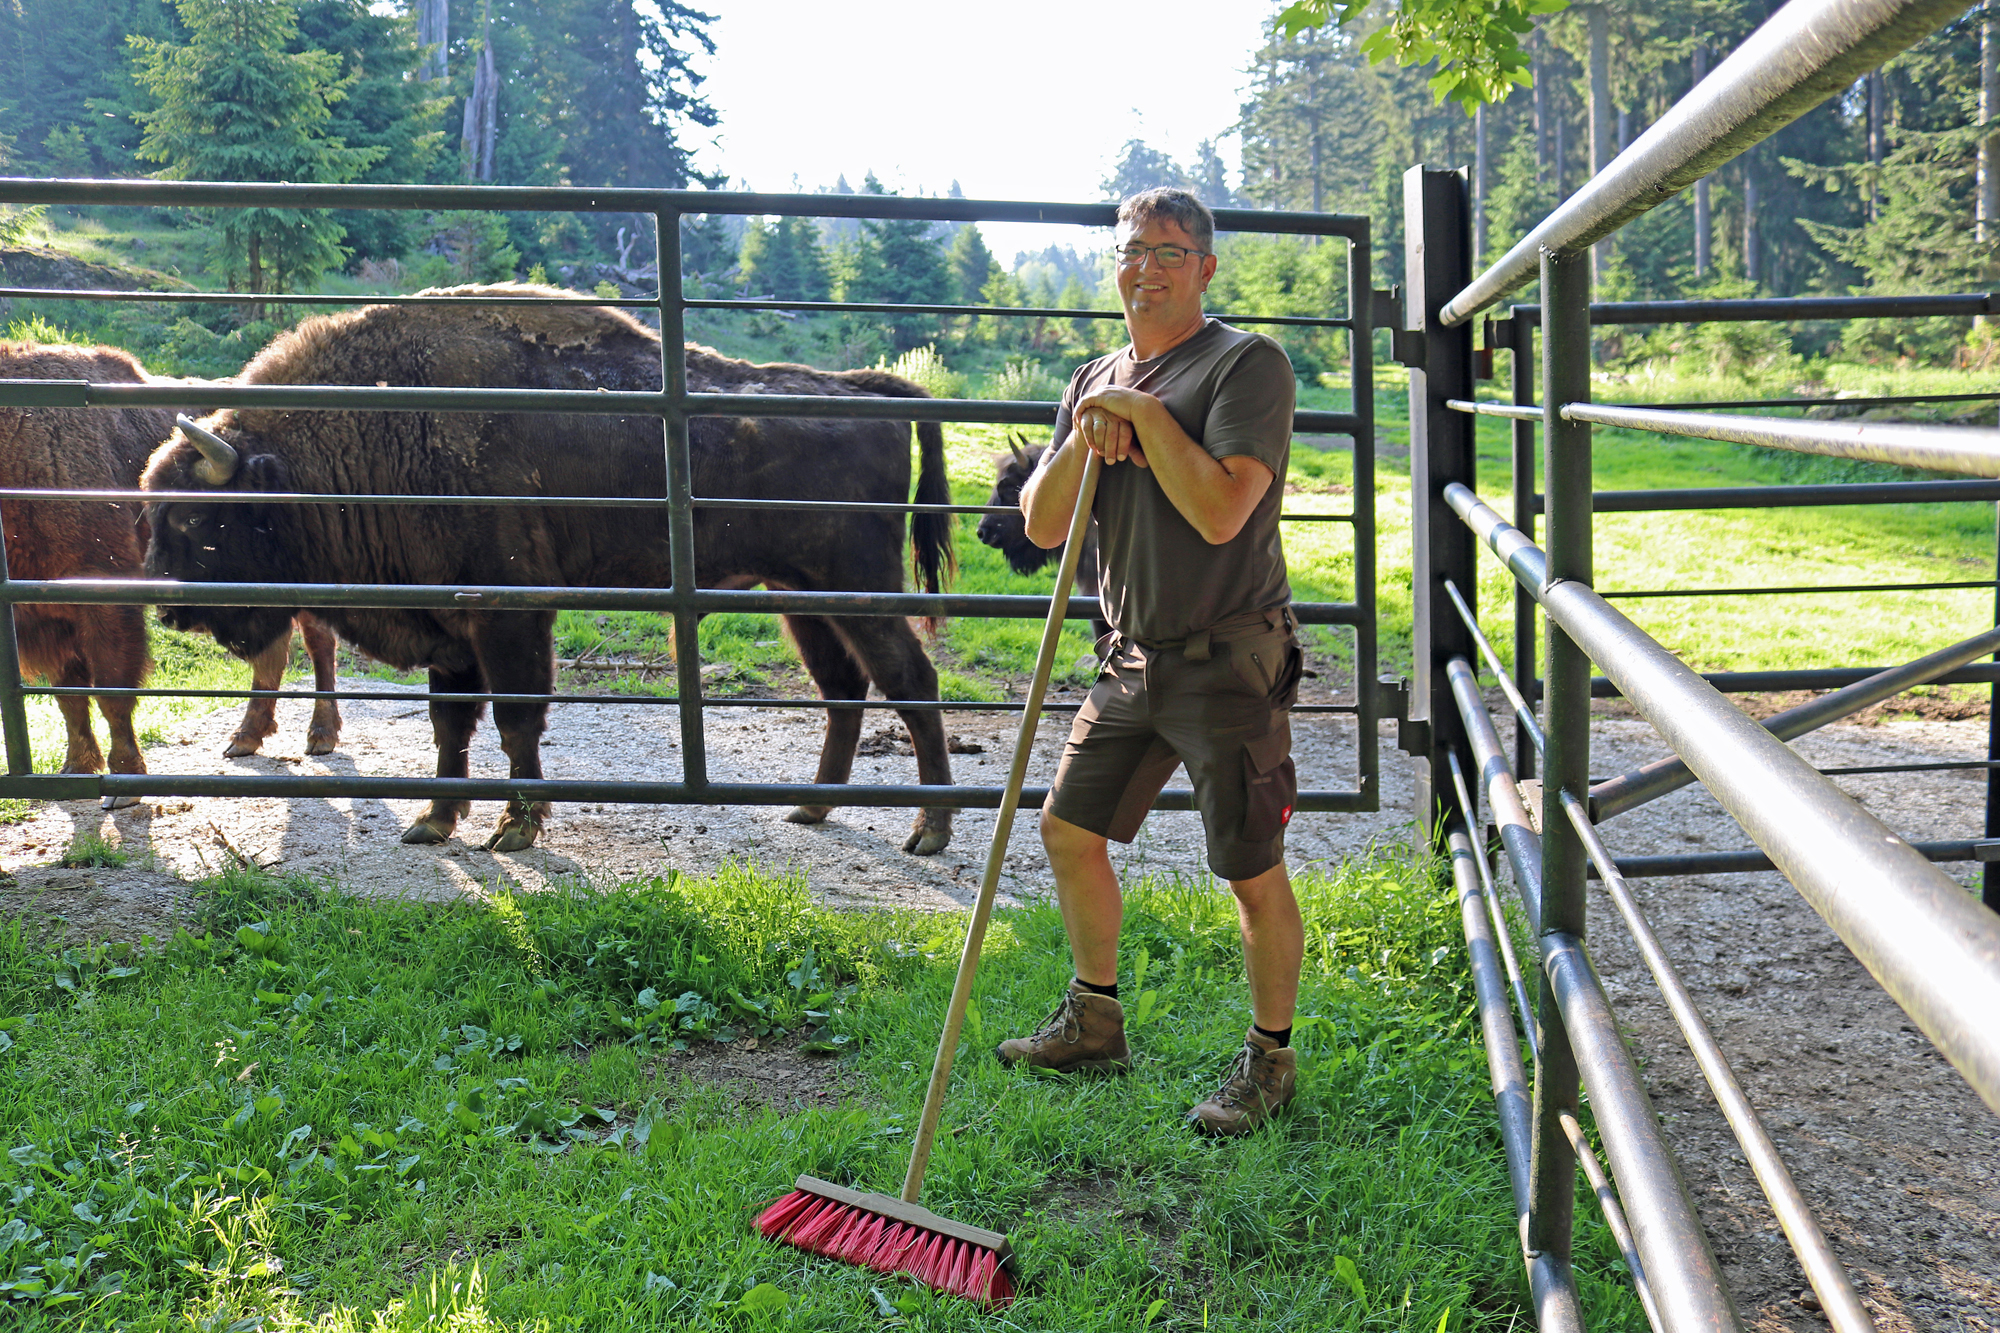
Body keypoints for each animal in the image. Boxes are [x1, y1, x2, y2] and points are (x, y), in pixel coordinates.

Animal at [141, 286, 960, 856]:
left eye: (195, 520)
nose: (166, 608)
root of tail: (862, 388)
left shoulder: (510, 616)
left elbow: (515, 720)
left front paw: (515, 828)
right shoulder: (450, 630)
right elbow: (450, 726)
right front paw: (434, 821)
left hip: (859, 587)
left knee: (911, 680)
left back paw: (930, 830)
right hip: (801, 595)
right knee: (844, 687)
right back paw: (813, 807)